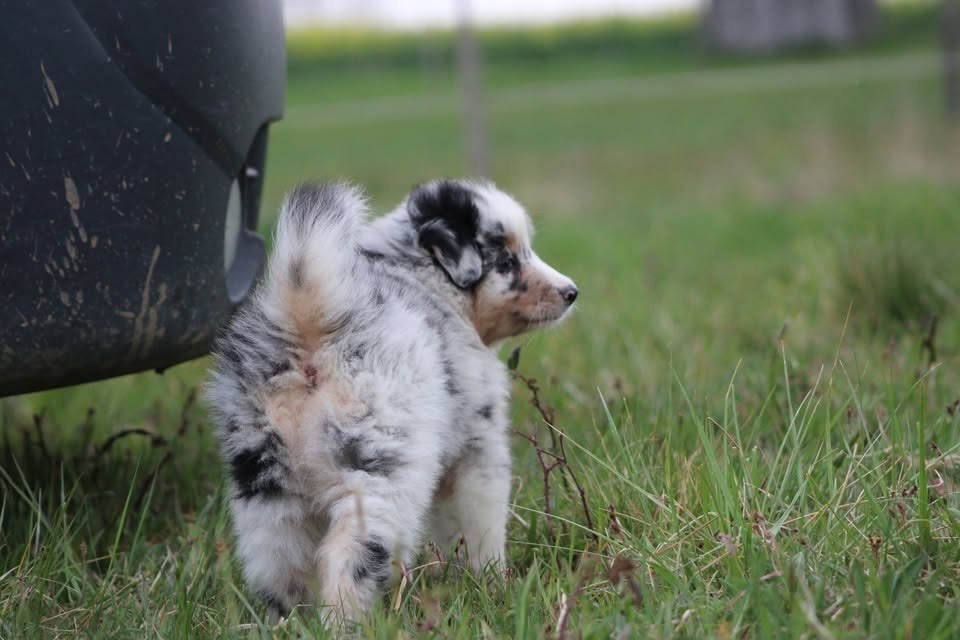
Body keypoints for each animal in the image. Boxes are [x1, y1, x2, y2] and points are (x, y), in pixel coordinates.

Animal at [205, 178, 577, 624]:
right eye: (506, 260)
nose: (571, 292)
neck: (424, 280)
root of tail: (311, 325)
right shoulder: (477, 447)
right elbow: (477, 523)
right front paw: (489, 580)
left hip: (265, 479)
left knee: (279, 560)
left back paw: (293, 622)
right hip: (379, 467)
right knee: (350, 552)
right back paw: (350, 622)